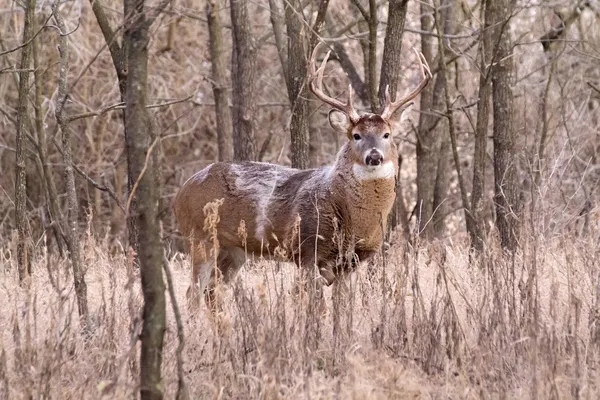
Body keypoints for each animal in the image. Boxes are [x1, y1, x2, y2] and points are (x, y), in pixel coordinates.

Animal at [173, 43, 432, 310]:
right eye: (356, 135)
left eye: (387, 134)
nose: (374, 156)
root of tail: (180, 193)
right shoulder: (308, 250)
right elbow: (313, 304)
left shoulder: (349, 263)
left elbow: (341, 305)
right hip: (200, 237)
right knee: (193, 293)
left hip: (233, 250)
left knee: (212, 293)